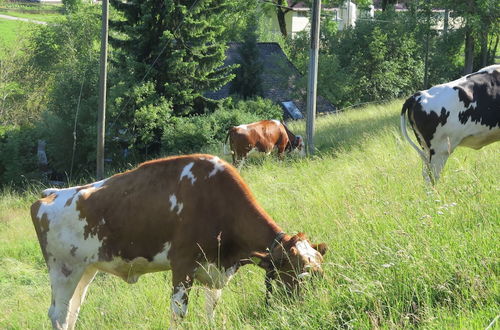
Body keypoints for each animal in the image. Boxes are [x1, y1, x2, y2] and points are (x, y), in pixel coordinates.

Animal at [31, 153, 328, 328]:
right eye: (297, 276)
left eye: (320, 276)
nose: (311, 310)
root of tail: (51, 194)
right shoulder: (182, 265)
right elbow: (178, 314)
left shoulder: (214, 269)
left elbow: (210, 310)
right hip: (63, 271)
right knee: (59, 314)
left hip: (85, 270)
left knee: (72, 312)